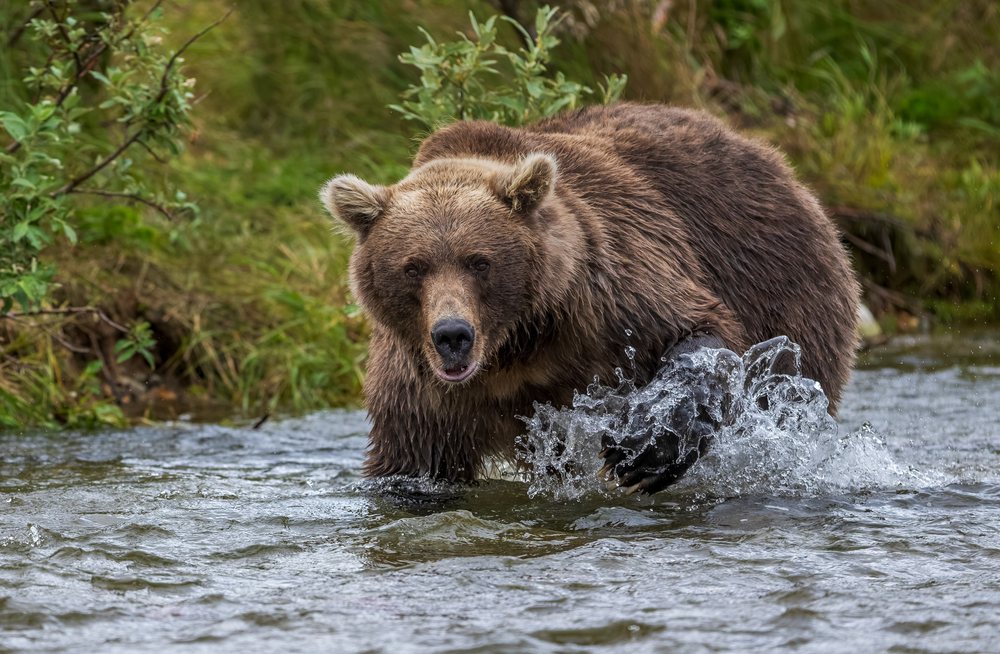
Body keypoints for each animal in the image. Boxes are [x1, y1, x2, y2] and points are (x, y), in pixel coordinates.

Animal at [320, 103, 860, 494]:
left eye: (479, 261)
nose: (452, 335)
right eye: (414, 267)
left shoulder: (611, 293)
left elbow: (697, 329)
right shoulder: (422, 388)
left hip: (788, 290)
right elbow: (413, 466)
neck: (517, 349)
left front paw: (644, 449)